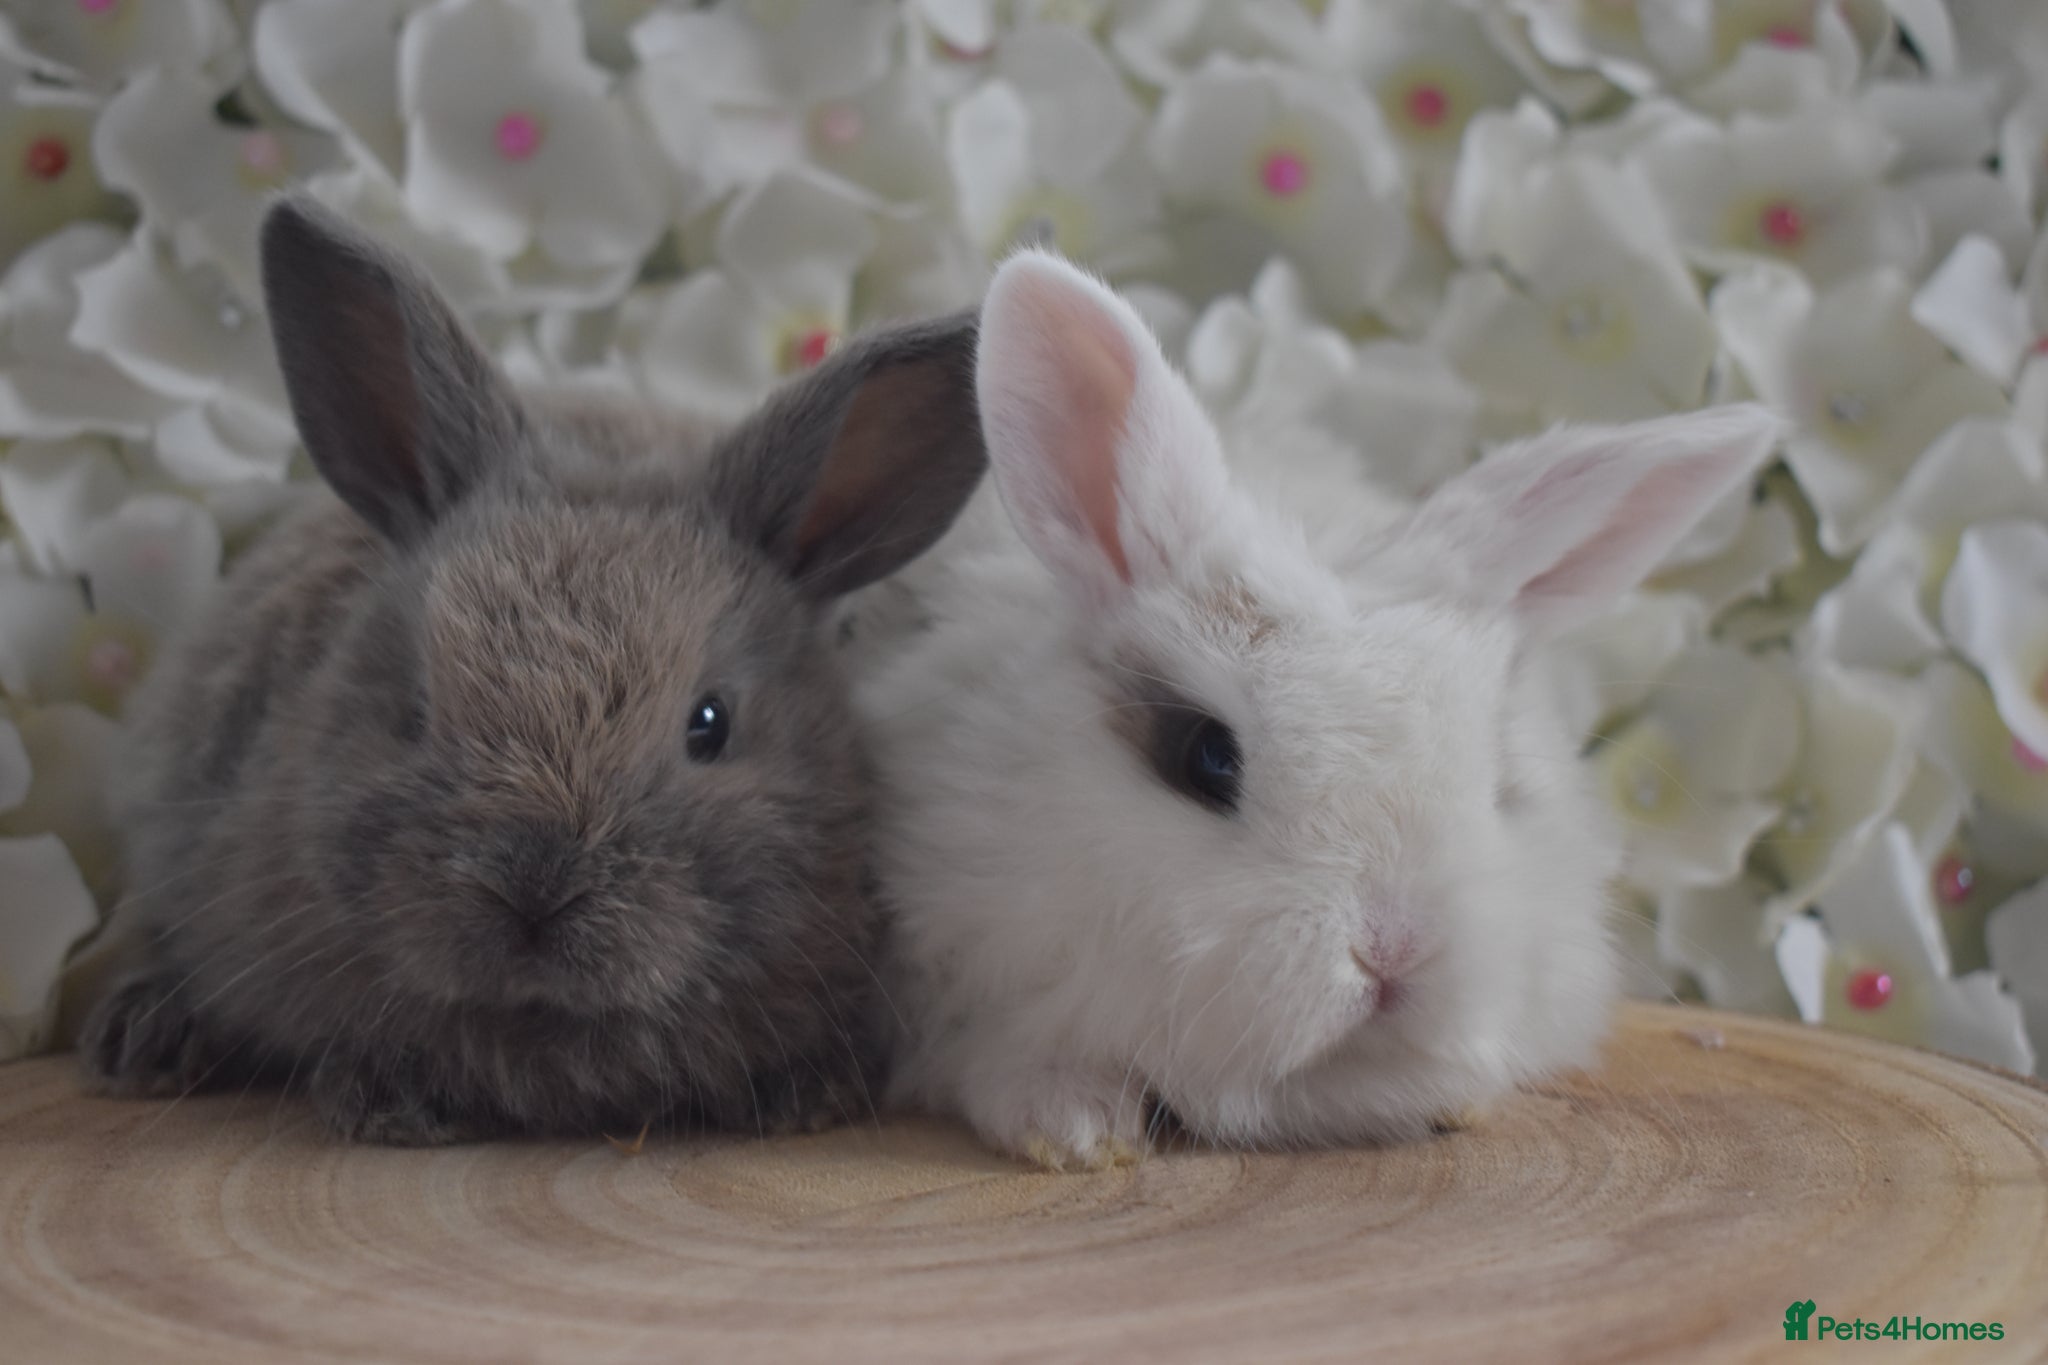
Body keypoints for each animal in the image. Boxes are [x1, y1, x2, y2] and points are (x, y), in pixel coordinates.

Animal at [75, 199, 988, 1145]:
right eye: (414, 713)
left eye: (711, 724)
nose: (533, 895)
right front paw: (389, 1100)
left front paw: (804, 1095)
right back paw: (141, 1036)